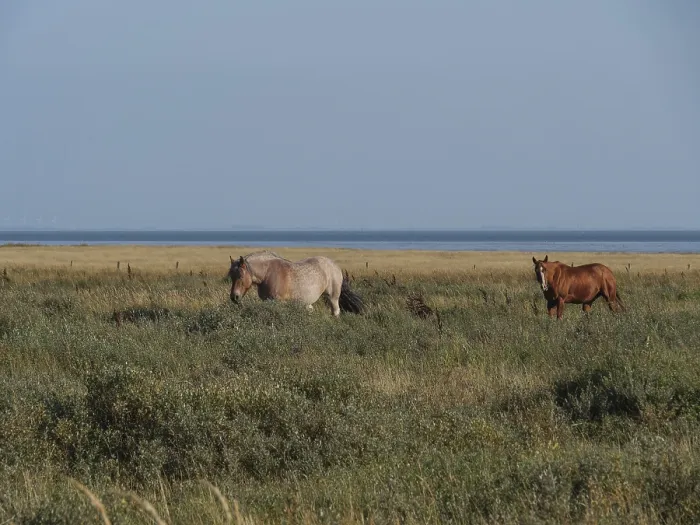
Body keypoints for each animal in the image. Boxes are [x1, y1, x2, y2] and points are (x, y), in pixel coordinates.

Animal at [227, 251, 364, 316]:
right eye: (231, 276)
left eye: (240, 276)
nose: (234, 297)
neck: (268, 272)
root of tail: (334, 266)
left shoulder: (278, 303)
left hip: (333, 297)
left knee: (336, 312)